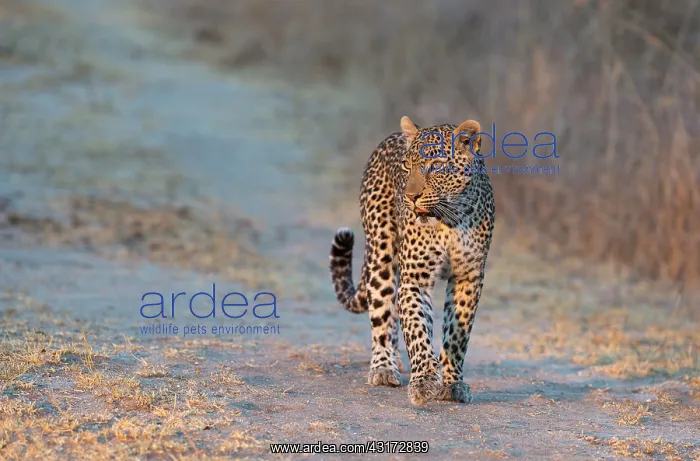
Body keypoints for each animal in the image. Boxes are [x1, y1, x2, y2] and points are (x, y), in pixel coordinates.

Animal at [329, 116, 495, 406]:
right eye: (407, 165)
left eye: (436, 165)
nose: (410, 196)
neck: (449, 220)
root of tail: (392, 136)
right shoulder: (415, 280)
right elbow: (417, 330)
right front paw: (425, 380)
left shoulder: (468, 278)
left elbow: (457, 334)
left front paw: (452, 384)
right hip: (381, 252)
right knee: (382, 315)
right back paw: (384, 367)